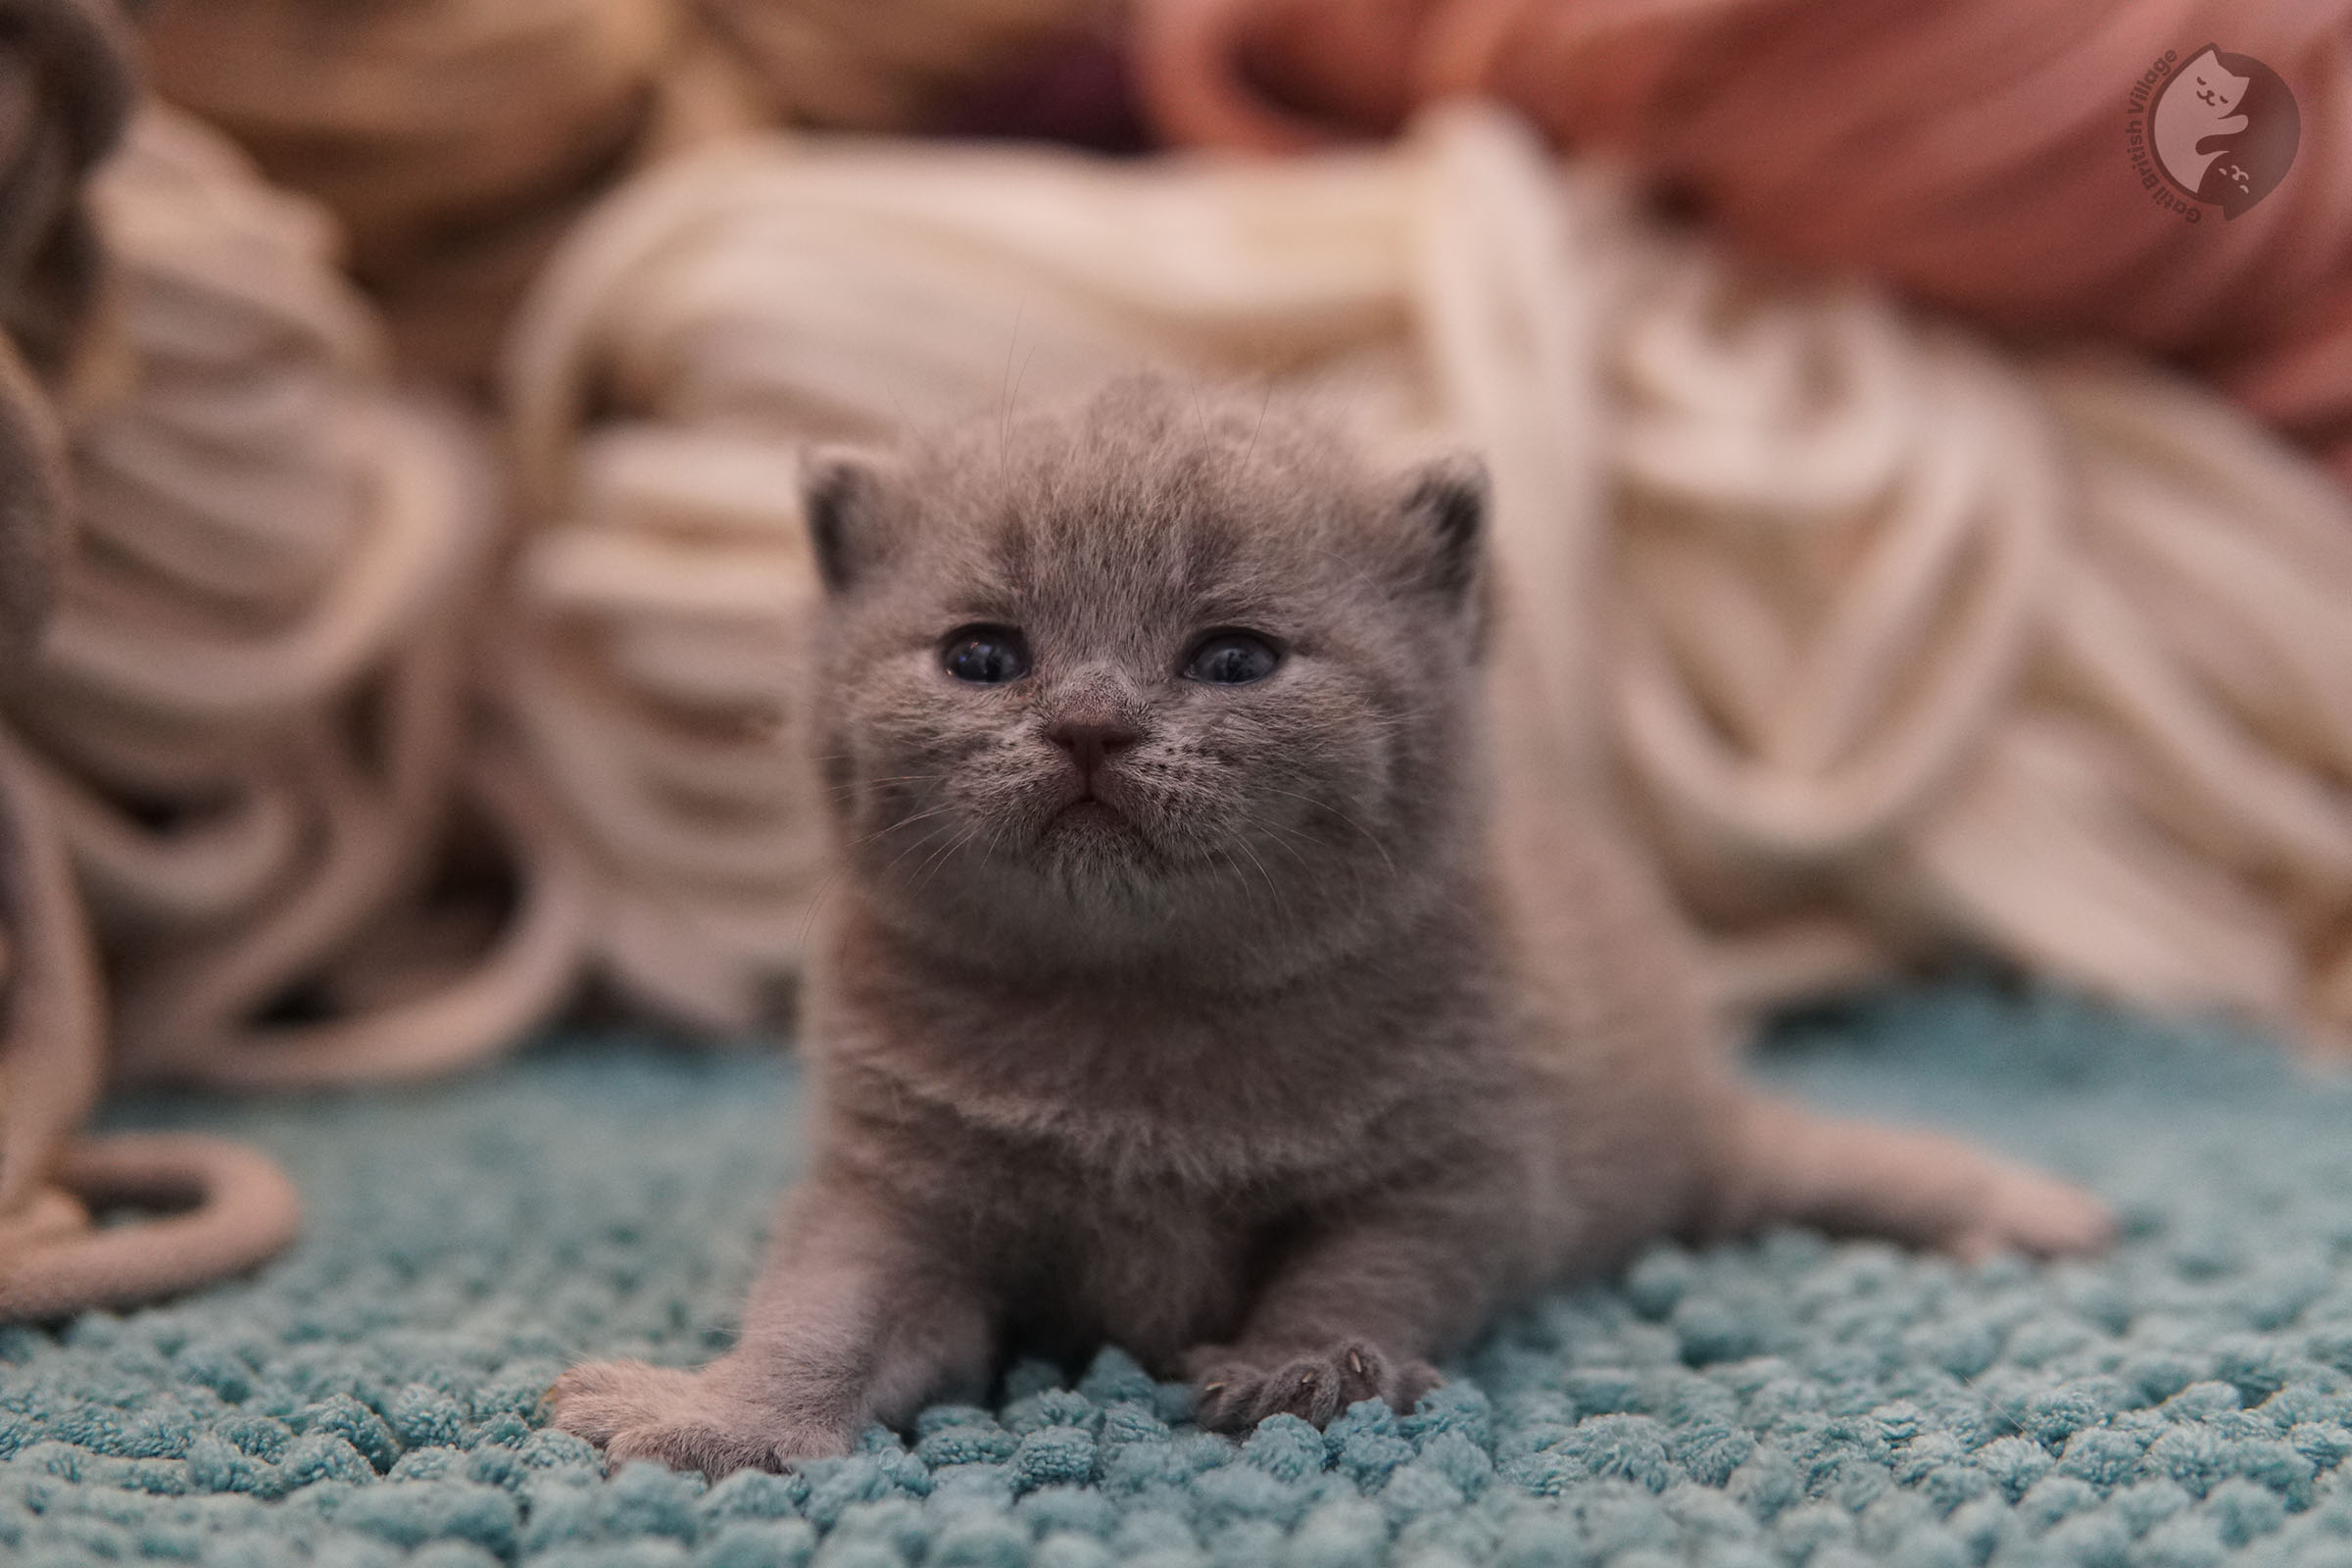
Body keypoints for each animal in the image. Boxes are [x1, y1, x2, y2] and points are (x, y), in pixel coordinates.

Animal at [555, 375, 2117, 1476]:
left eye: (1236, 658)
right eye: (983, 656)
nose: (1090, 725)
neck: (1139, 1021)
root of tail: (1702, 1110)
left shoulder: (1457, 1165)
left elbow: (1368, 1265)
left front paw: (1306, 1369)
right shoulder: (897, 1186)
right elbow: (825, 1306)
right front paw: (719, 1419)